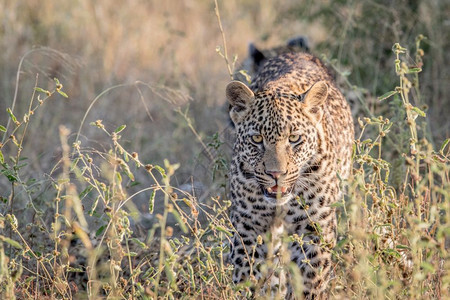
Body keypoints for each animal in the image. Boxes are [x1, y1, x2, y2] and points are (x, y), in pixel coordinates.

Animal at [227, 43, 354, 298]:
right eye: (257, 139)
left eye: (294, 139)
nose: (276, 174)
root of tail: (294, 51)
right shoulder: (250, 224)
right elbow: (247, 274)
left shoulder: (313, 228)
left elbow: (310, 281)